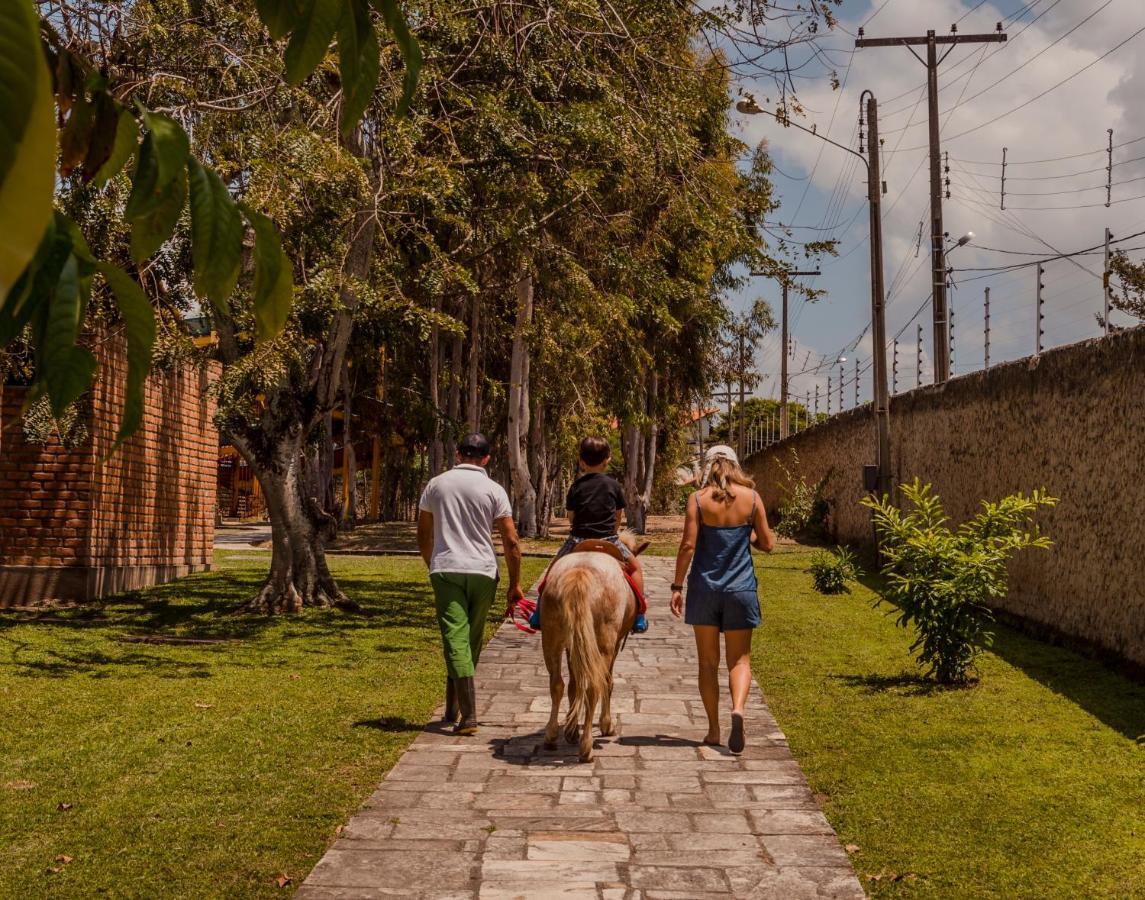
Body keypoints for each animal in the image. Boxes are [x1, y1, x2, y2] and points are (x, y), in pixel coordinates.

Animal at [538, 529, 641, 760]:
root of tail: (580, 572)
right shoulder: (614, 643)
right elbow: (607, 682)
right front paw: (606, 725)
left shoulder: (574, 643)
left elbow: (574, 684)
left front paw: (571, 730)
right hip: (604, 640)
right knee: (595, 685)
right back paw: (586, 747)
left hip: (551, 636)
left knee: (556, 683)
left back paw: (551, 736)